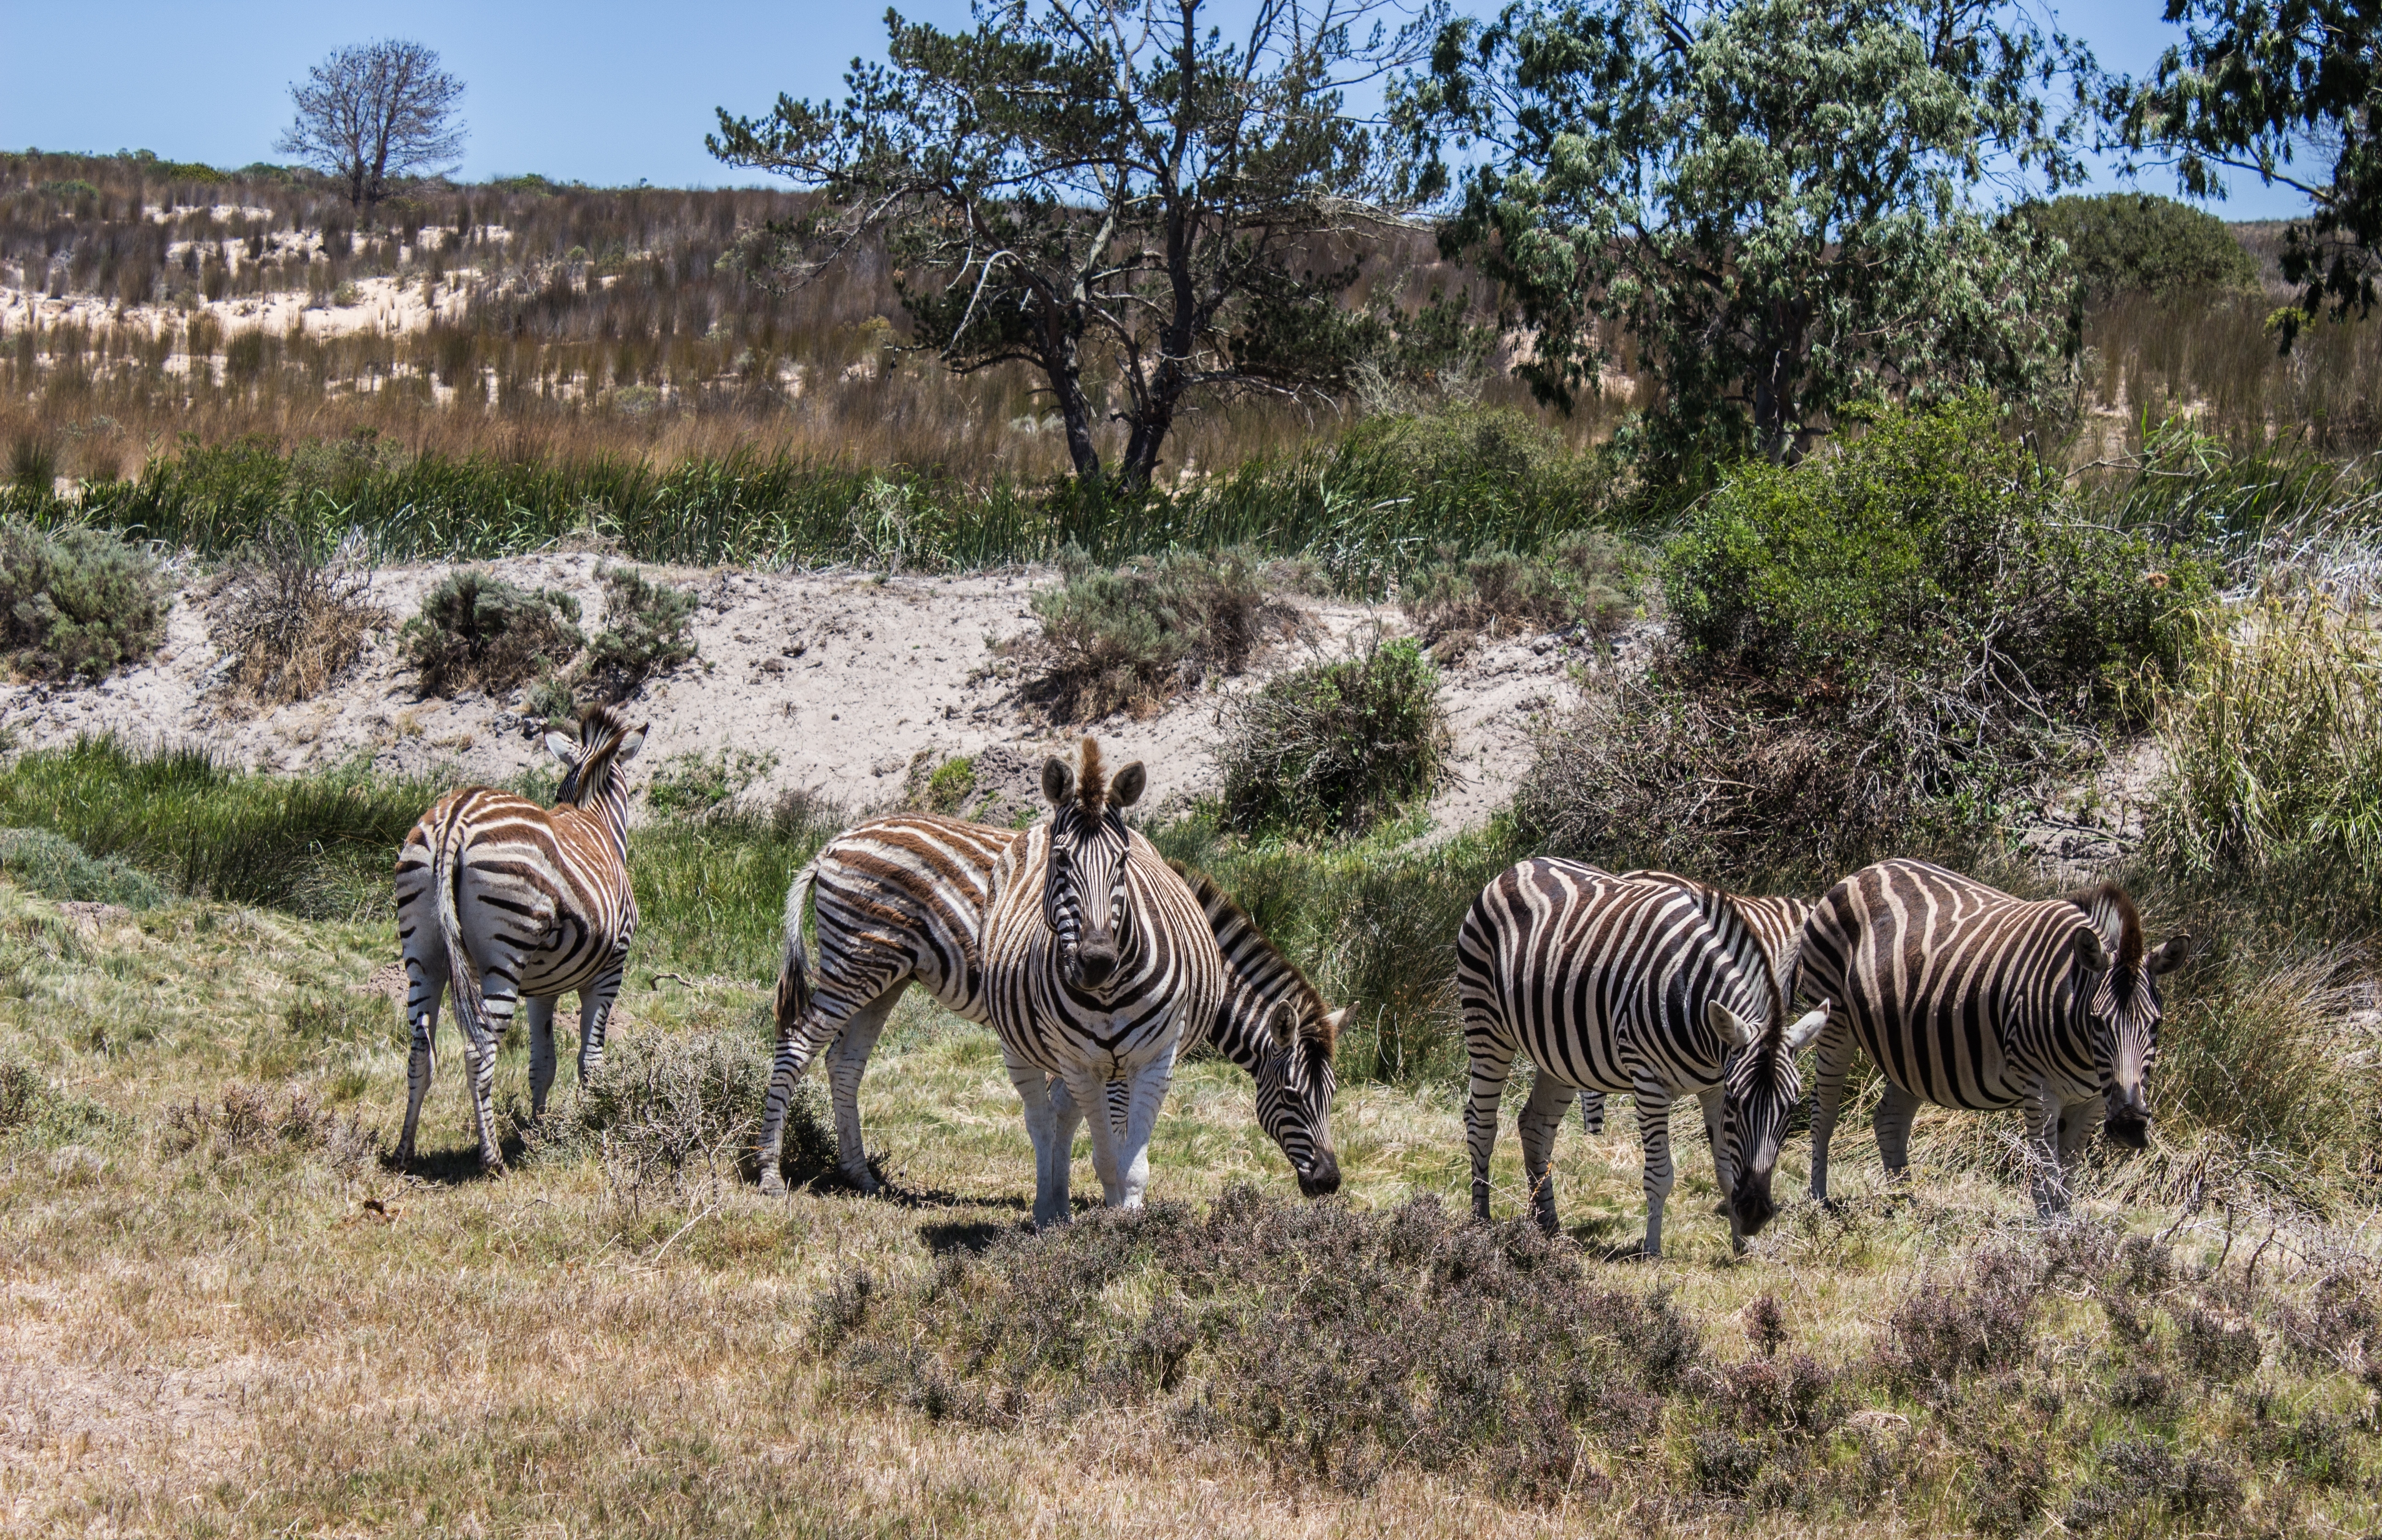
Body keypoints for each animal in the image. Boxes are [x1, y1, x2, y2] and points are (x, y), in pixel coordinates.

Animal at [392, 704, 647, 1172]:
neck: (594, 818)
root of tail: (456, 816)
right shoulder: (609, 972)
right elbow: (591, 1060)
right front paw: (596, 1122)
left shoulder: (541, 988)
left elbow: (543, 1063)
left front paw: (540, 1133)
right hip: (503, 958)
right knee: (478, 1052)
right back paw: (491, 1159)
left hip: (423, 954)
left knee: (421, 1049)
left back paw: (405, 1151)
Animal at [757, 808, 1346, 1200]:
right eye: (1292, 1096)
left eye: (1333, 1097)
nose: (1329, 1182)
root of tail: (832, 845)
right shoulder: (1110, 1044)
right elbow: (1108, 1123)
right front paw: (1107, 1198)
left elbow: (1066, 1111)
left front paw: (1061, 1191)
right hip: (857, 964)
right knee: (797, 1045)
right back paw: (769, 1174)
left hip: (887, 975)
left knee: (844, 1062)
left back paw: (861, 1175)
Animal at [1455, 859, 1829, 1256]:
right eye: (1737, 1104)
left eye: (1791, 1108)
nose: (1756, 1213)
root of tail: (1520, 866)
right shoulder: (1651, 1082)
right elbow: (1660, 1175)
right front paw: (1652, 1250)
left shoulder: (1714, 1085)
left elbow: (1726, 1172)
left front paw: (1742, 1247)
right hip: (1486, 1023)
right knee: (1481, 1122)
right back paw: (1481, 1222)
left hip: (1559, 1055)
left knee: (1536, 1126)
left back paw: (1548, 1227)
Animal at [1798, 858, 2191, 1214]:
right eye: (2097, 1021)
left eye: (2156, 1025)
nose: (2130, 1125)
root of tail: (1866, 870)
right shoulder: (2040, 1091)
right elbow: (2046, 1180)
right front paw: (2050, 1241)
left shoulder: (2093, 1101)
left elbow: (2068, 1180)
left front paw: (2068, 1236)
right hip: (1834, 1021)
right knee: (1824, 1109)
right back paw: (1820, 1200)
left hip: (1912, 1050)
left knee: (1889, 1120)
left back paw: (1906, 1205)